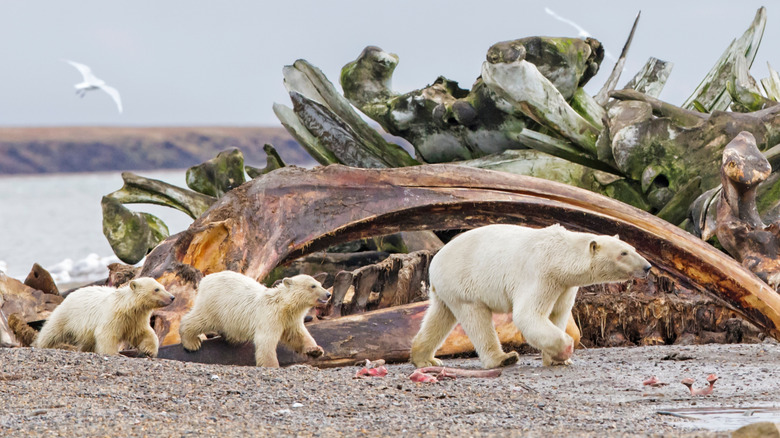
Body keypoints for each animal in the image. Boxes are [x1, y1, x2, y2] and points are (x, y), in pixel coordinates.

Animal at [33, 277, 174, 356]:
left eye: (163, 287)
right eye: (156, 289)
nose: (172, 297)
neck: (126, 306)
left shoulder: (135, 319)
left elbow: (143, 333)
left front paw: (149, 351)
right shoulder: (113, 315)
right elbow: (106, 333)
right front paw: (114, 353)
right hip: (68, 315)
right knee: (52, 331)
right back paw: (40, 344)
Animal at [178, 271, 331, 367]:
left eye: (320, 283)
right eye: (313, 286)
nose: (328, 294)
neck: (283, 305)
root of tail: (206, 279)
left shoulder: (290, 319)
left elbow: (298, 335)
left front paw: (315, 350)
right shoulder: (269, 316)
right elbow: (265, 341)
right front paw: (272, 365)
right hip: (215, 305)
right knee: (201, 319)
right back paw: (191, 343)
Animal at [410, 224, 651, 369]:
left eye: (632, 248)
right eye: (623, 253)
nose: (648, 267)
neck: (560, 255)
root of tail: (436, 260)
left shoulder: (564, 285)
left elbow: (558, 314)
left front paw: (556, 359)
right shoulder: (540, 274)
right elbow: (528, 315)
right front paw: (565, 350)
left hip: (447, 288)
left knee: (440, 316)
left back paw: (425, 359)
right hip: (465, 281)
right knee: (476, 319)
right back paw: (503, 358)